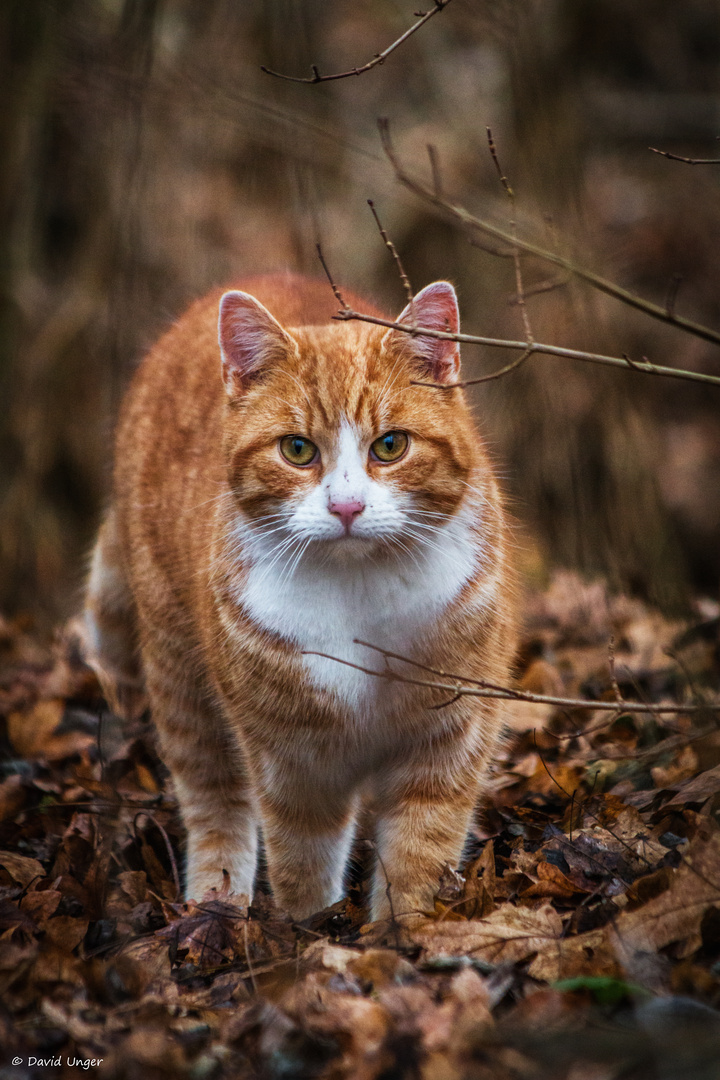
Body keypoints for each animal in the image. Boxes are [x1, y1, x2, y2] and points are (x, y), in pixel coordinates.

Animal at [85, 270, 518, 920]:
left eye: (390, 446)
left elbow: (419, 853)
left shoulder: (448, 738)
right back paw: (217, 898)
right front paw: (310, 930)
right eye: (296, 450)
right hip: (180, 675)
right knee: (213, 798)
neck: (359, 594)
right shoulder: (291, 760)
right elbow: (303, 859)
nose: (347, 507)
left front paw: (404, 932)